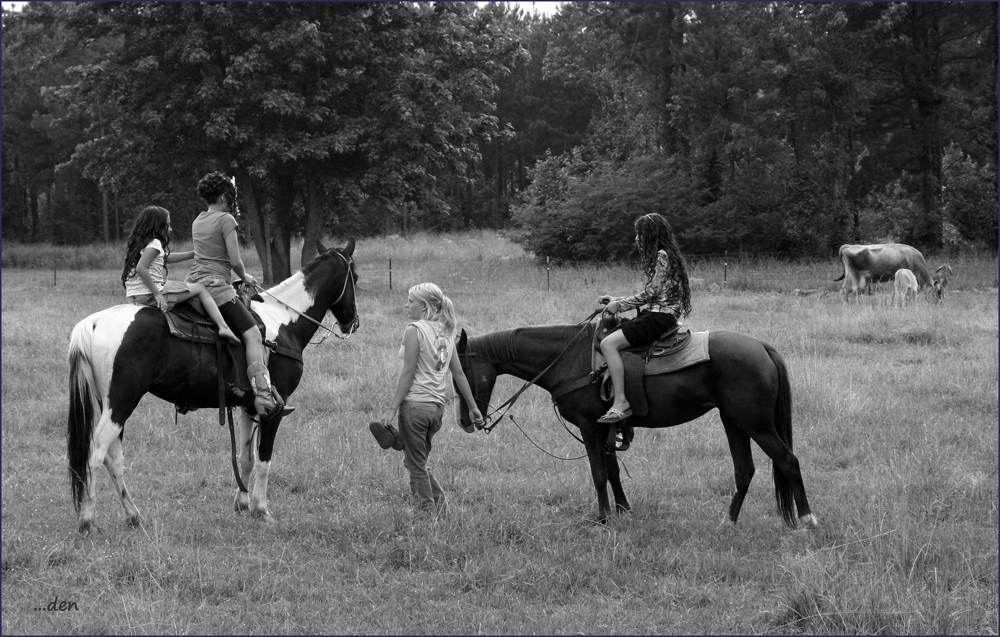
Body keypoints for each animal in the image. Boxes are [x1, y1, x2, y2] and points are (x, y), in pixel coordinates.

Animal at [66, 238, 358, 532]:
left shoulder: (249, 407)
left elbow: (246, 458)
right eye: (354, 277)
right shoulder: (273, 410)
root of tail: (93, 323)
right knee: (95, 455)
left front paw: (242, 504)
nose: (352, 324)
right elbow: (264, 460)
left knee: (113, 458)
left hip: (110, 404)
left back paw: (133, 515)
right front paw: (261, 510)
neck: (282, 320)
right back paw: (87, 521)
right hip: (122, 402)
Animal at [458, 320, 820, 528]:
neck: (568, 359)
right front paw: (624, 510)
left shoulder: (589, 427)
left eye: (461, 371)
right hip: (733, 421)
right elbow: (613, 471)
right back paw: (728, 522)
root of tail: (763, 348)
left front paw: (604, 519)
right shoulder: (605, 430)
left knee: (788, 461)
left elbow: (598, 473)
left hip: (756, 423)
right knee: (745, 471)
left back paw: (807, 518)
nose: (465, 421)